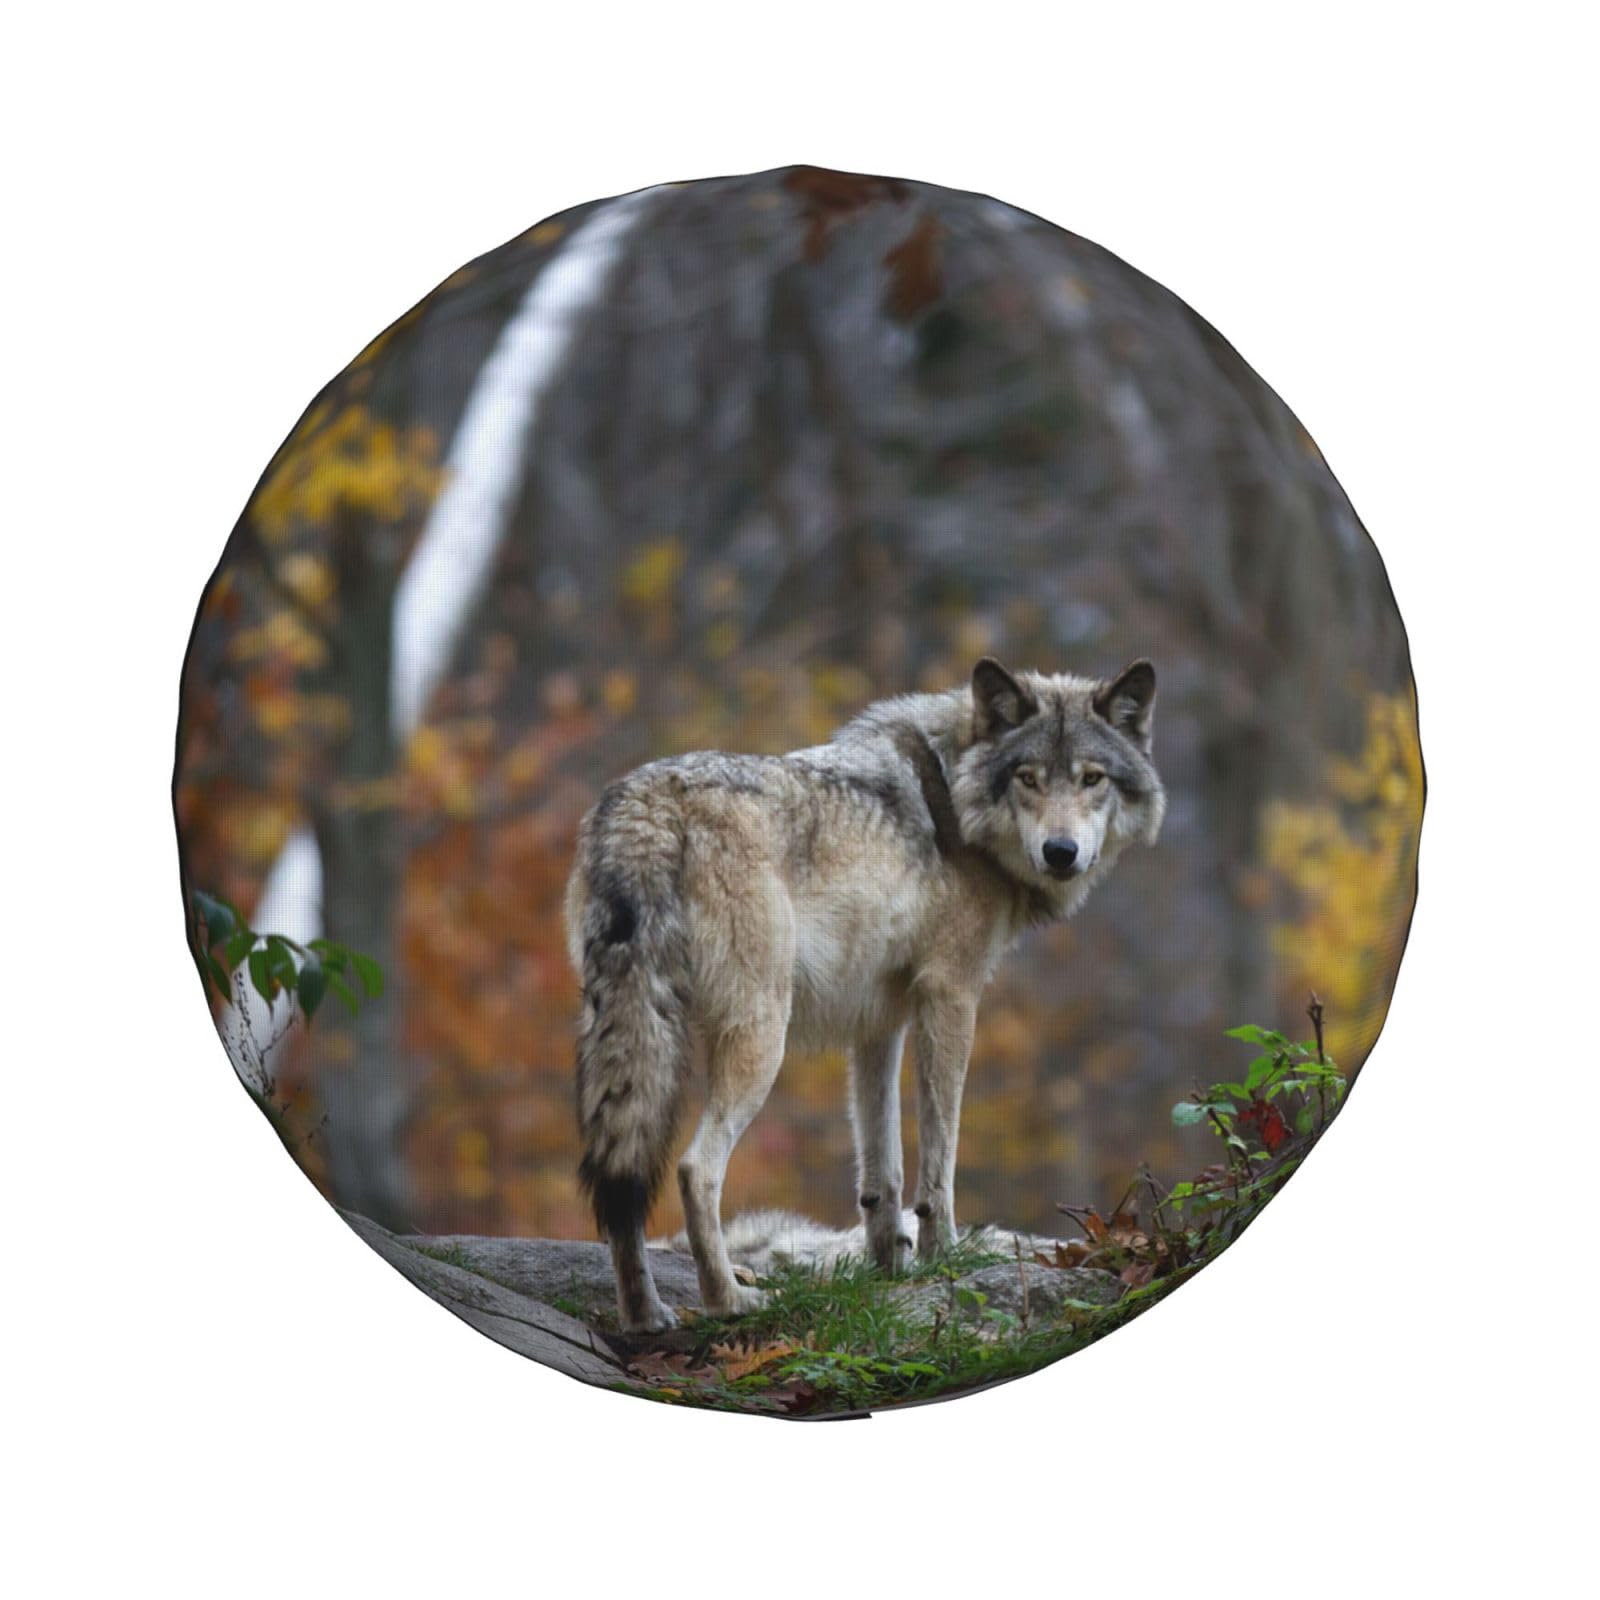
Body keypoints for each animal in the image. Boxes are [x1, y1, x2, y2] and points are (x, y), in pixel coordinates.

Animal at [565, 657, 1166, 1332]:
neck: (953, 795)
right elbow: (939, 1157)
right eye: (1028, 778)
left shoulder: (878, 1023)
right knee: (695, 1169)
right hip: (761, 1038)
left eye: (1091, 778)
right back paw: (730, 1300)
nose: (1060, 853)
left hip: (629, 1030)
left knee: (623, 1179)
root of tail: (646, 805)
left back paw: (645, 1315)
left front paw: (890, 1268)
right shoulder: (951, 997)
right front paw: (941, 1256)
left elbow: (883, 1170)